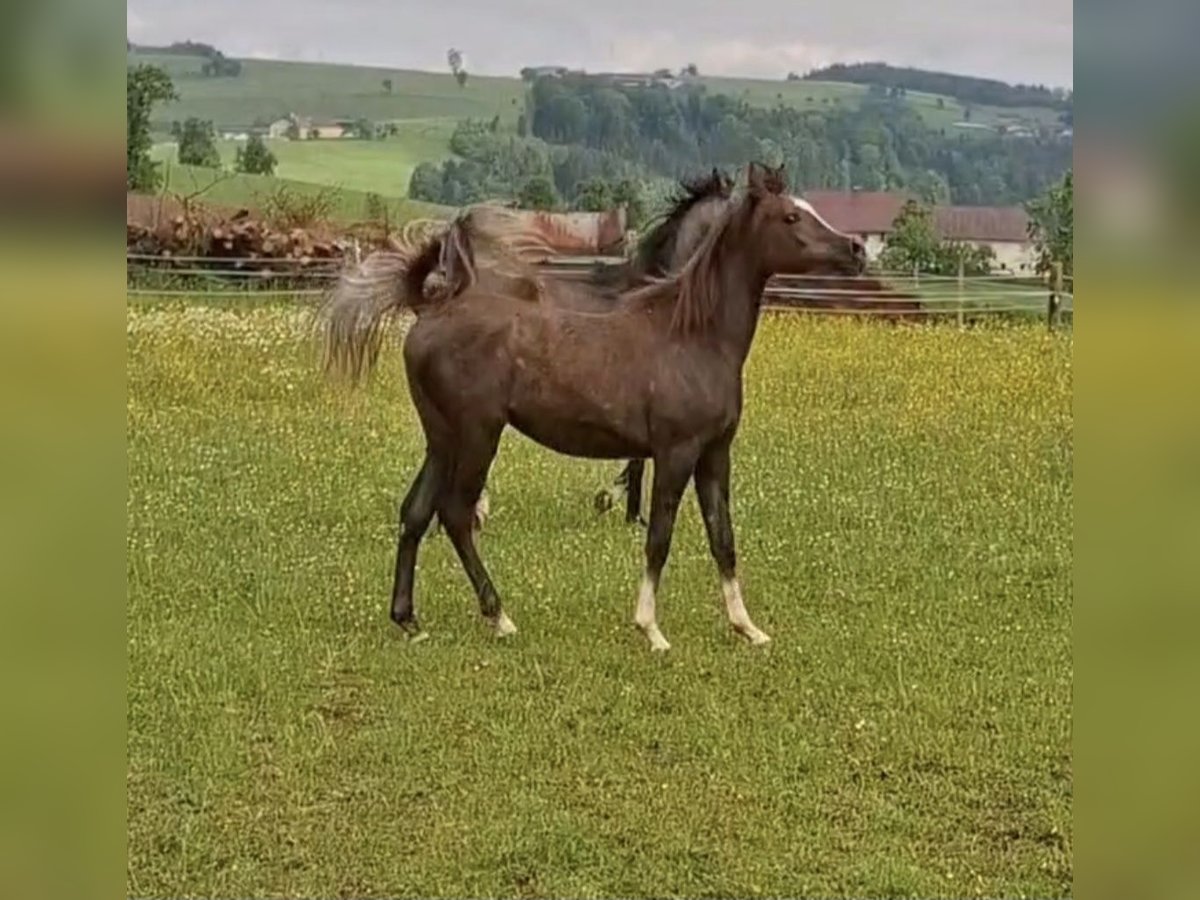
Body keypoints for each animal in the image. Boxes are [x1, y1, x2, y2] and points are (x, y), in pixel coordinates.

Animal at [319, 162, 864, 652]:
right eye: (790, 217)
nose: (856, 250)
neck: (690, 332)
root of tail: (430, 307)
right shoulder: (676, 453)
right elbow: (659, 536)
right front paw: (651, 630)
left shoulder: (714, 455)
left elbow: (723, 538)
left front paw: (747, 628)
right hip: (478, 435)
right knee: (455, 513)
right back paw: (500, 617)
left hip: (442, 438)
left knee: (415, 511)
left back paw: (409, 620)